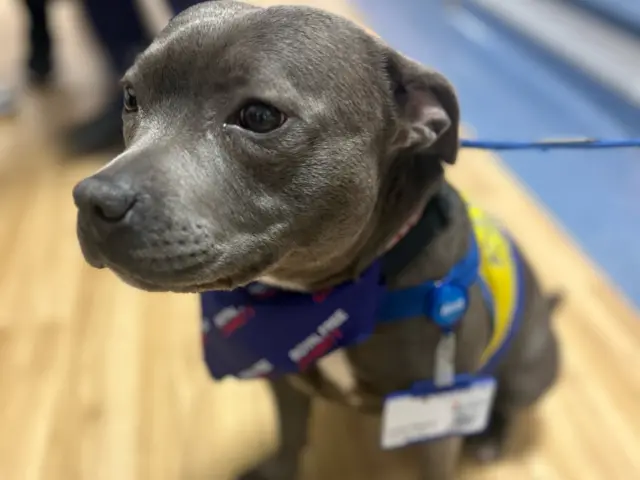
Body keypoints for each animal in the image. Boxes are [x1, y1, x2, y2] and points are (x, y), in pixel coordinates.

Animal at [71, 1, 560, 478]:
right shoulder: (286, 382)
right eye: (131, 98)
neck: (330, 295)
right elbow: (290, 439)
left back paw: (490, 436)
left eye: (260, 117)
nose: (94, 200)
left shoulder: (434, 422)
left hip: (527, 373)